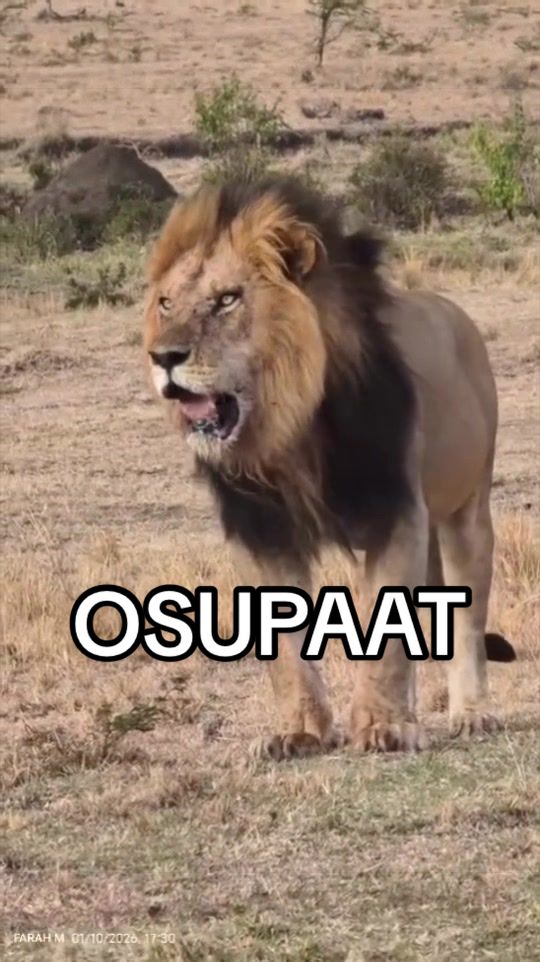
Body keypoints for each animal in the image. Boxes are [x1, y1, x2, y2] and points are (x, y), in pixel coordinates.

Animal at [143, 175, 515, 758]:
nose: (164, 357)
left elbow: (390, 636)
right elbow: (285, 651)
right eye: (165, 302)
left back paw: (472, 714)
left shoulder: (395, 509)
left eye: (227, 300)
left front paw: (385, 728)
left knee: (468, 622)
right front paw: (298, 733)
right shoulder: (261, 530)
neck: (288, 430)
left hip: (466, 509)